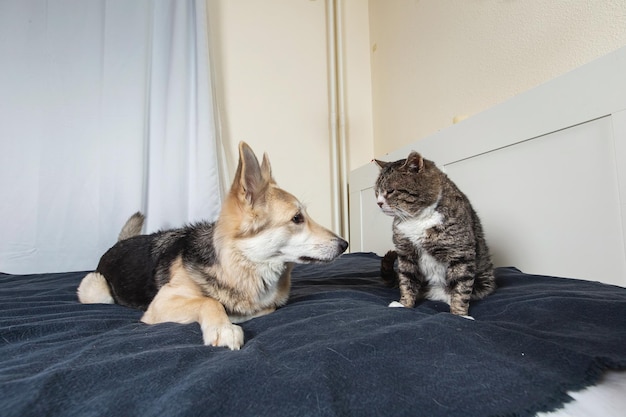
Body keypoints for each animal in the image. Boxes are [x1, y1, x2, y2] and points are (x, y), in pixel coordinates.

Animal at [77, 141, 346, 350]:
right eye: (297, 218)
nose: (344, 244)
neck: (241, 263)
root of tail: (120, 243)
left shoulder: (268, 304)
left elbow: (260, 308)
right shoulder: (162, 303)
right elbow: (209, 301)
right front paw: (224, 327)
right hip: (98, 291)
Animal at [372, 151, 494, 316]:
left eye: (390, 191)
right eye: (376, 192)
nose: (379, 203)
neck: (416, 219)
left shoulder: (460, 253)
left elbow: (461, 287)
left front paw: (459, 315)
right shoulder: (406, 253)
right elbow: (407, 280)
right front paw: (404, 305)